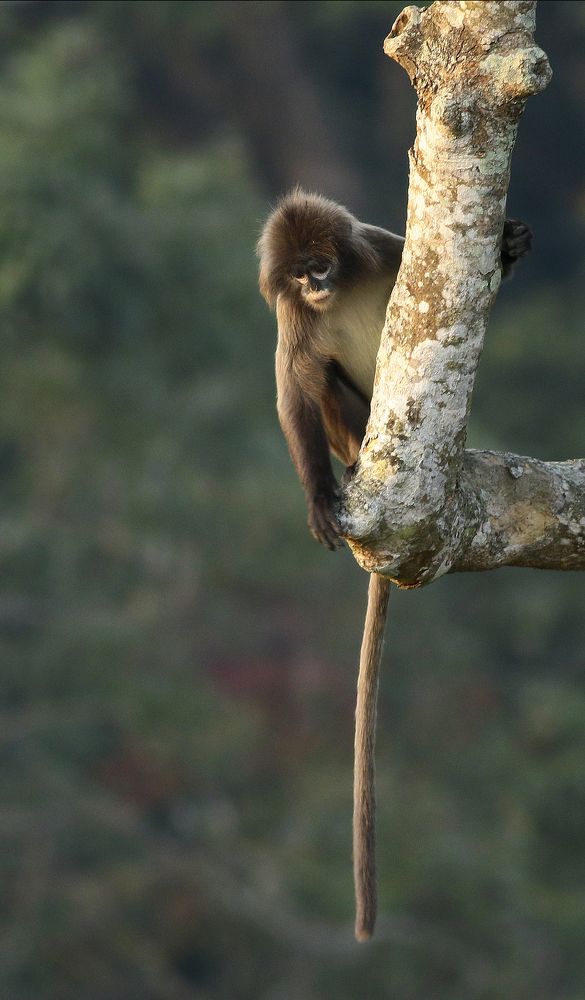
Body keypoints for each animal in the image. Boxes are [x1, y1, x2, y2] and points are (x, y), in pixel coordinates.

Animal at [257, 188, 532, 941]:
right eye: (299, 272)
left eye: (321, 260)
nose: (316, 281)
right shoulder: (293, 318)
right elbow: (294, 388)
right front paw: (318, 497)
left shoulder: (379, 250)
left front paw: (506, 246)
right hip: (350, 427)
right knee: (319, 381)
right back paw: (351, 467)